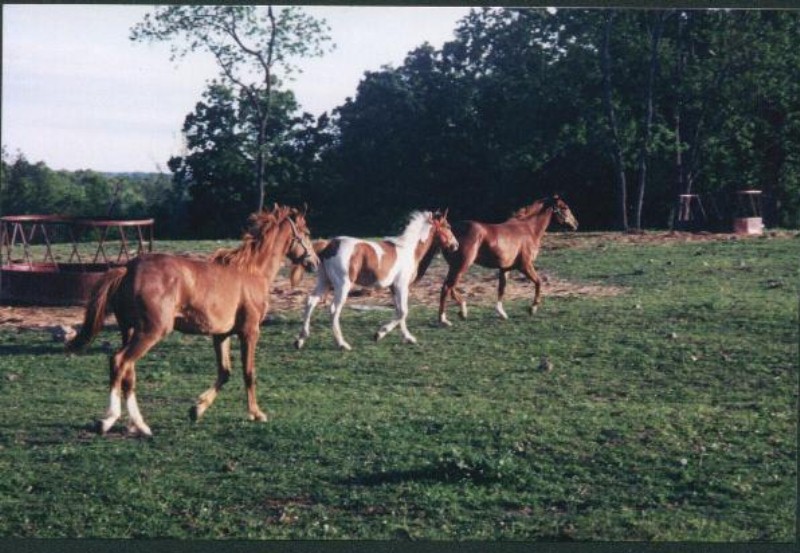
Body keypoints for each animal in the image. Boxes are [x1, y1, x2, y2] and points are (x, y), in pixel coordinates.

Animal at [66, 205, 319, 436]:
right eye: (306, 232)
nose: (314, 262)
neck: (252, 272)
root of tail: (127, 269)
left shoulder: (221, 335)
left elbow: (224, 372)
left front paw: (196, 410)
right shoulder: (249, 332)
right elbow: (249, 373)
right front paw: (256, 413)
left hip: (128, 330)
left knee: (128, 372)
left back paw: (139, 425)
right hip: (150, 332)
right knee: (119, 361)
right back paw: (109, 420)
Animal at [294, 210, 458, 351]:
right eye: (448, 226)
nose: (455, 245)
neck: (408, 250)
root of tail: (329, 245)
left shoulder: (394, 288)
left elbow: (399, 311)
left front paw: (408, 338)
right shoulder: (401, 285)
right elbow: (403, 312)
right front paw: (379, 334)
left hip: (324, 282)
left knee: (310, 302)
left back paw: (300, 340)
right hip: (342, 286)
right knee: (334, 310)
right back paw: (342, 344)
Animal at [438, 195, 578, 326]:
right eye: (565, 207)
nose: (576, 224)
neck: (529, 230)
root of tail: (452, 236)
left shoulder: (505, 269)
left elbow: (502, 289)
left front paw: (502, 313)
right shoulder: (525, 265)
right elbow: (538, 282)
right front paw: (532, 309)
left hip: (455, 266)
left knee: (450, 287)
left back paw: (462, 312)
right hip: (462, 265)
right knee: (447, 287)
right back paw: (444, 319)